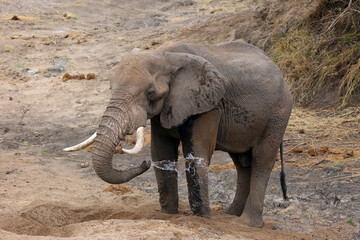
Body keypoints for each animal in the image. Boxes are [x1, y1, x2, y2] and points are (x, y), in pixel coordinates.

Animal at [63, 41, 292, 227]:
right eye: (111, 88)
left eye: (150, 94)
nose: (143, 163)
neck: (163, 55)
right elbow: (161, 152)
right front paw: (168, 214)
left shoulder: (209, 104)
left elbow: (197, 152)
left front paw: (202, 218)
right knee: (242, 162)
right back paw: (231, 216)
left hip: (278, 114)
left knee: (262, 159)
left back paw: (249, 223)